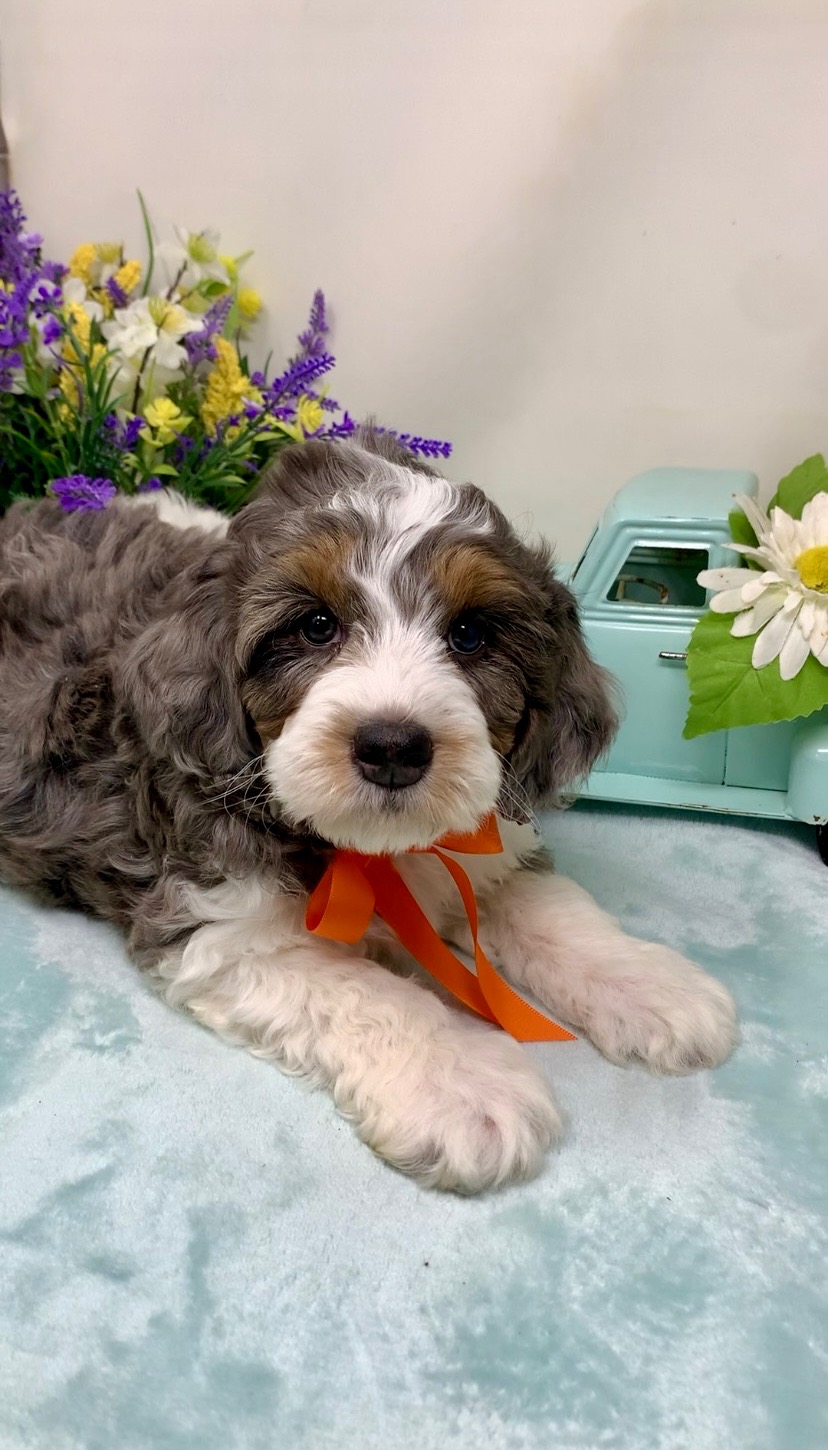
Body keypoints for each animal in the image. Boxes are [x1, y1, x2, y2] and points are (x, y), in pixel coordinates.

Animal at [0, 429, 739, 1189]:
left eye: (469, 635)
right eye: (315, 626)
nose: (392, 746)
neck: (382, 848)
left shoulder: (492, 846)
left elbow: (556, 912)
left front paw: (650, 984)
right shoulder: (217, 927)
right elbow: (367, 992)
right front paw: (464, 1083)